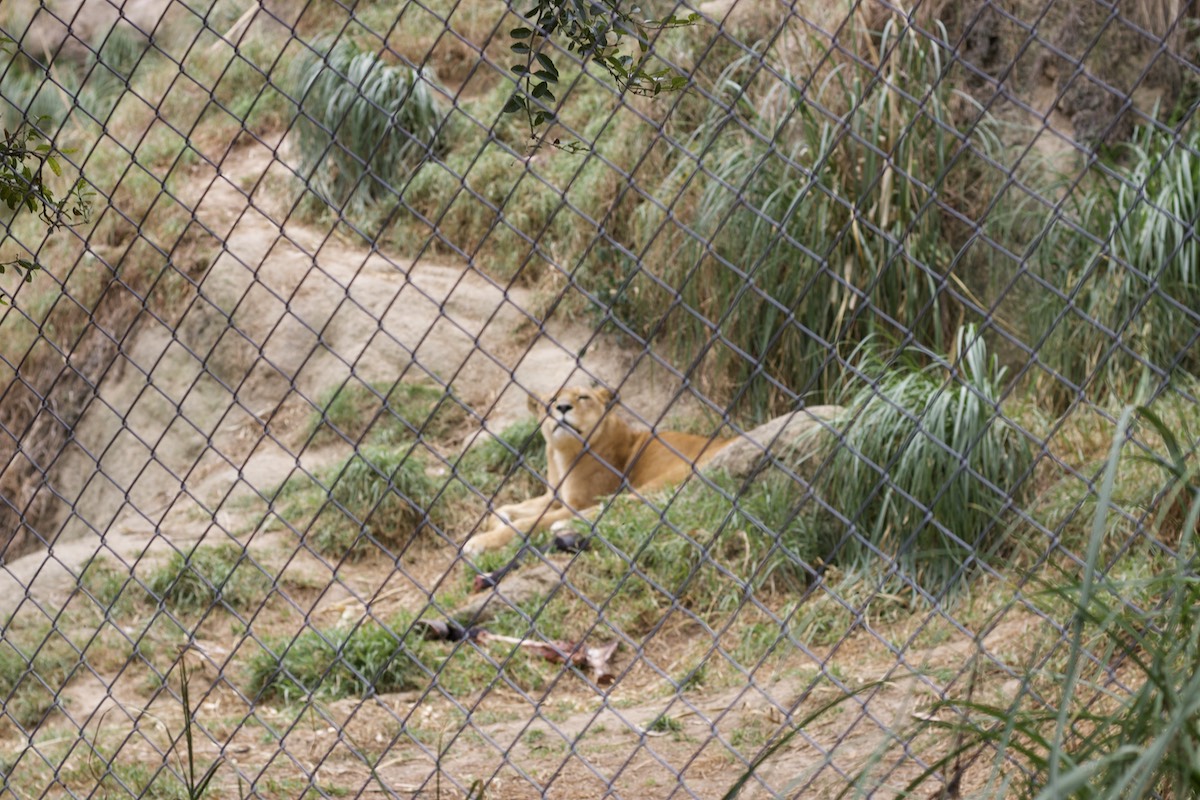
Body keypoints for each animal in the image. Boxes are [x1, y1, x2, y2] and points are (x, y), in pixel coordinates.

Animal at [463, 388, 729, 556]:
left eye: (583, 397)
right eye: (552, 399)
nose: (562, 407)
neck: (562, 454)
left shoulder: (578, 503)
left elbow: (526, 523)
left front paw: (479, 542)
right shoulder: (554, 497)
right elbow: (505, 508)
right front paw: (499, 520)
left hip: (670, 475)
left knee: (627, 504)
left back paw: (562, 526)